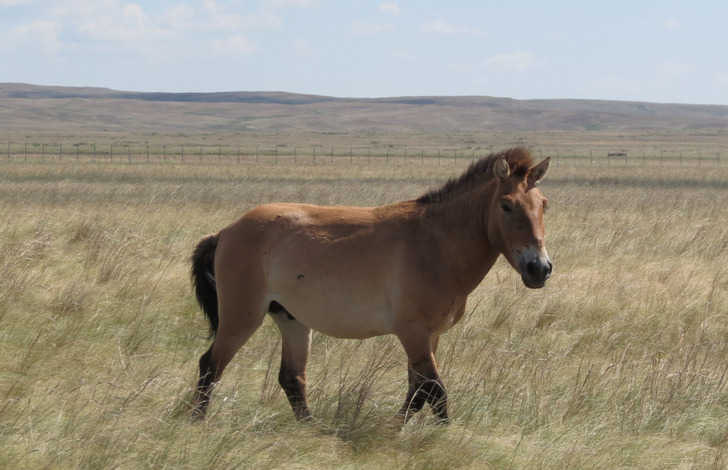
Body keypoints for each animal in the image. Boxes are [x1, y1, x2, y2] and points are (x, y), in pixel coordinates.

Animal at [189, 147, 552, 424]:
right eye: (506, 205)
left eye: (544, 205)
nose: (539, 269)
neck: (434, 244)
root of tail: (227, 231)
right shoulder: (414, 333)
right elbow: (435, 392)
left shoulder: (430, 337)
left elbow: (418, 391)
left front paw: (397, 429)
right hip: (242, 318)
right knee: (211, 365)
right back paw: (197, 422)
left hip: (291, 320)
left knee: (291, 378)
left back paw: (311, 428)